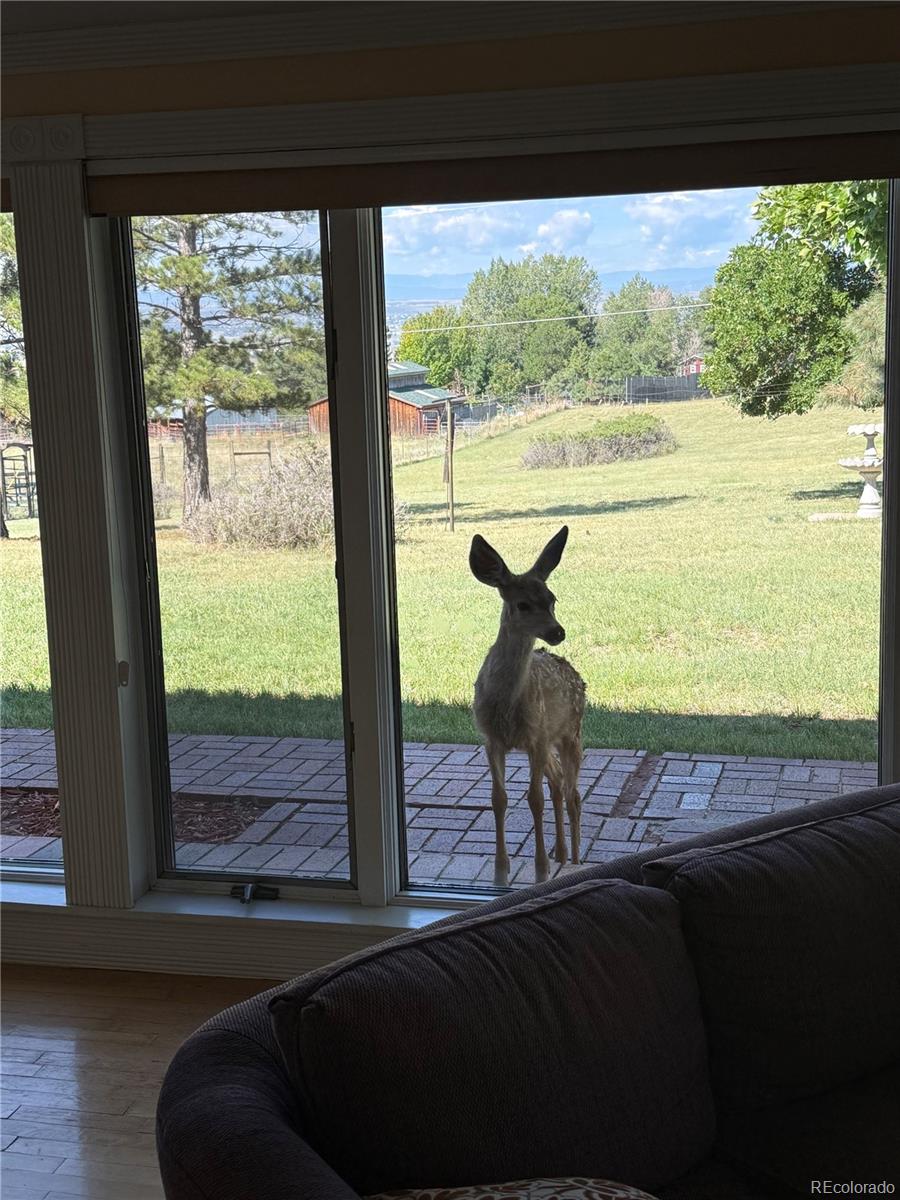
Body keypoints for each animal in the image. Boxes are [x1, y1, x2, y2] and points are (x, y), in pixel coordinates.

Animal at [470, 525, 586, 887]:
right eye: (522, 604)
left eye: (552, 600)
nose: (558, 631)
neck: (507, 704)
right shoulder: (491, 739)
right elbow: (499, 799)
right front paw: (500, 873)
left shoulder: (535, 737)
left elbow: (534, 800)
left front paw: (540, 871)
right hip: (548, 742)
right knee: (558, 783)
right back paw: (560, 852)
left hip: (570, 732)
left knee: (573, 792)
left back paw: (574, 858)